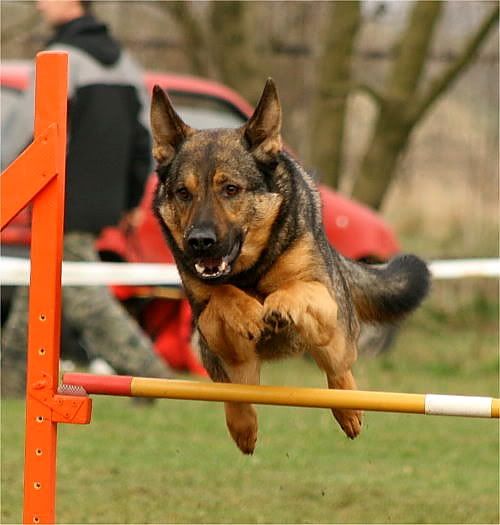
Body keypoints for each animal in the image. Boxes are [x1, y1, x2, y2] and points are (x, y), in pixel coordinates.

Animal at [150, 79, 430, 454]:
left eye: (230, 189)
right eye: (183, 192)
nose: (199, 242)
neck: (251, 271)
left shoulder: (323, 299)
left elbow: (297, 287)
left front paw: (279, 305)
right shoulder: (212, 332)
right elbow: (222, 296)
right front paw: (249, 313)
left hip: (335, 336)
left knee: (339, 370)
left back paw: (349, 410)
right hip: (231, 367)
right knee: (237, 397)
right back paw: (243, 427)